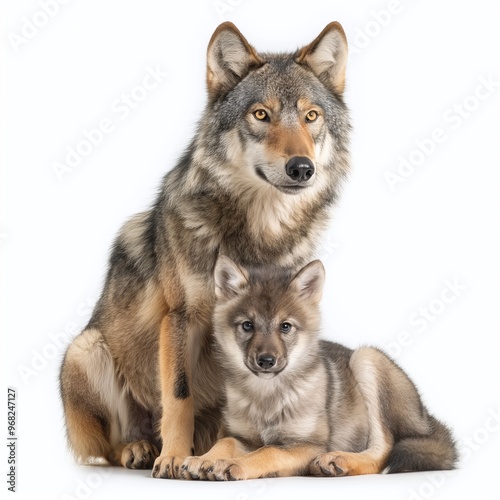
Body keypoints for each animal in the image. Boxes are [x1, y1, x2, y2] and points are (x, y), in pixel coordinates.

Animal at [58, 21, 350, 478]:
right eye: (261, 114)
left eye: (311, 116)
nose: (302, 168)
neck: (259, 234)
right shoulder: (181, 318)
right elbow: (179, 395)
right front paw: (174, 457)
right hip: (84, 350)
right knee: (110, 445)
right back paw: (140, 449)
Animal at [182, 258, 458, 480]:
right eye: (247, 325)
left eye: (285, 326)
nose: (266, 361)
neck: (267, 396)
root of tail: (428, 418)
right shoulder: (244, 438)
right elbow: (225, 442)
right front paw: (204, 459)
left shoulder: (308, 445)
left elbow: (267, 451)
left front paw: (231, 465)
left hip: (367, 359)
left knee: (383, 452)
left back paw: (338, 459)